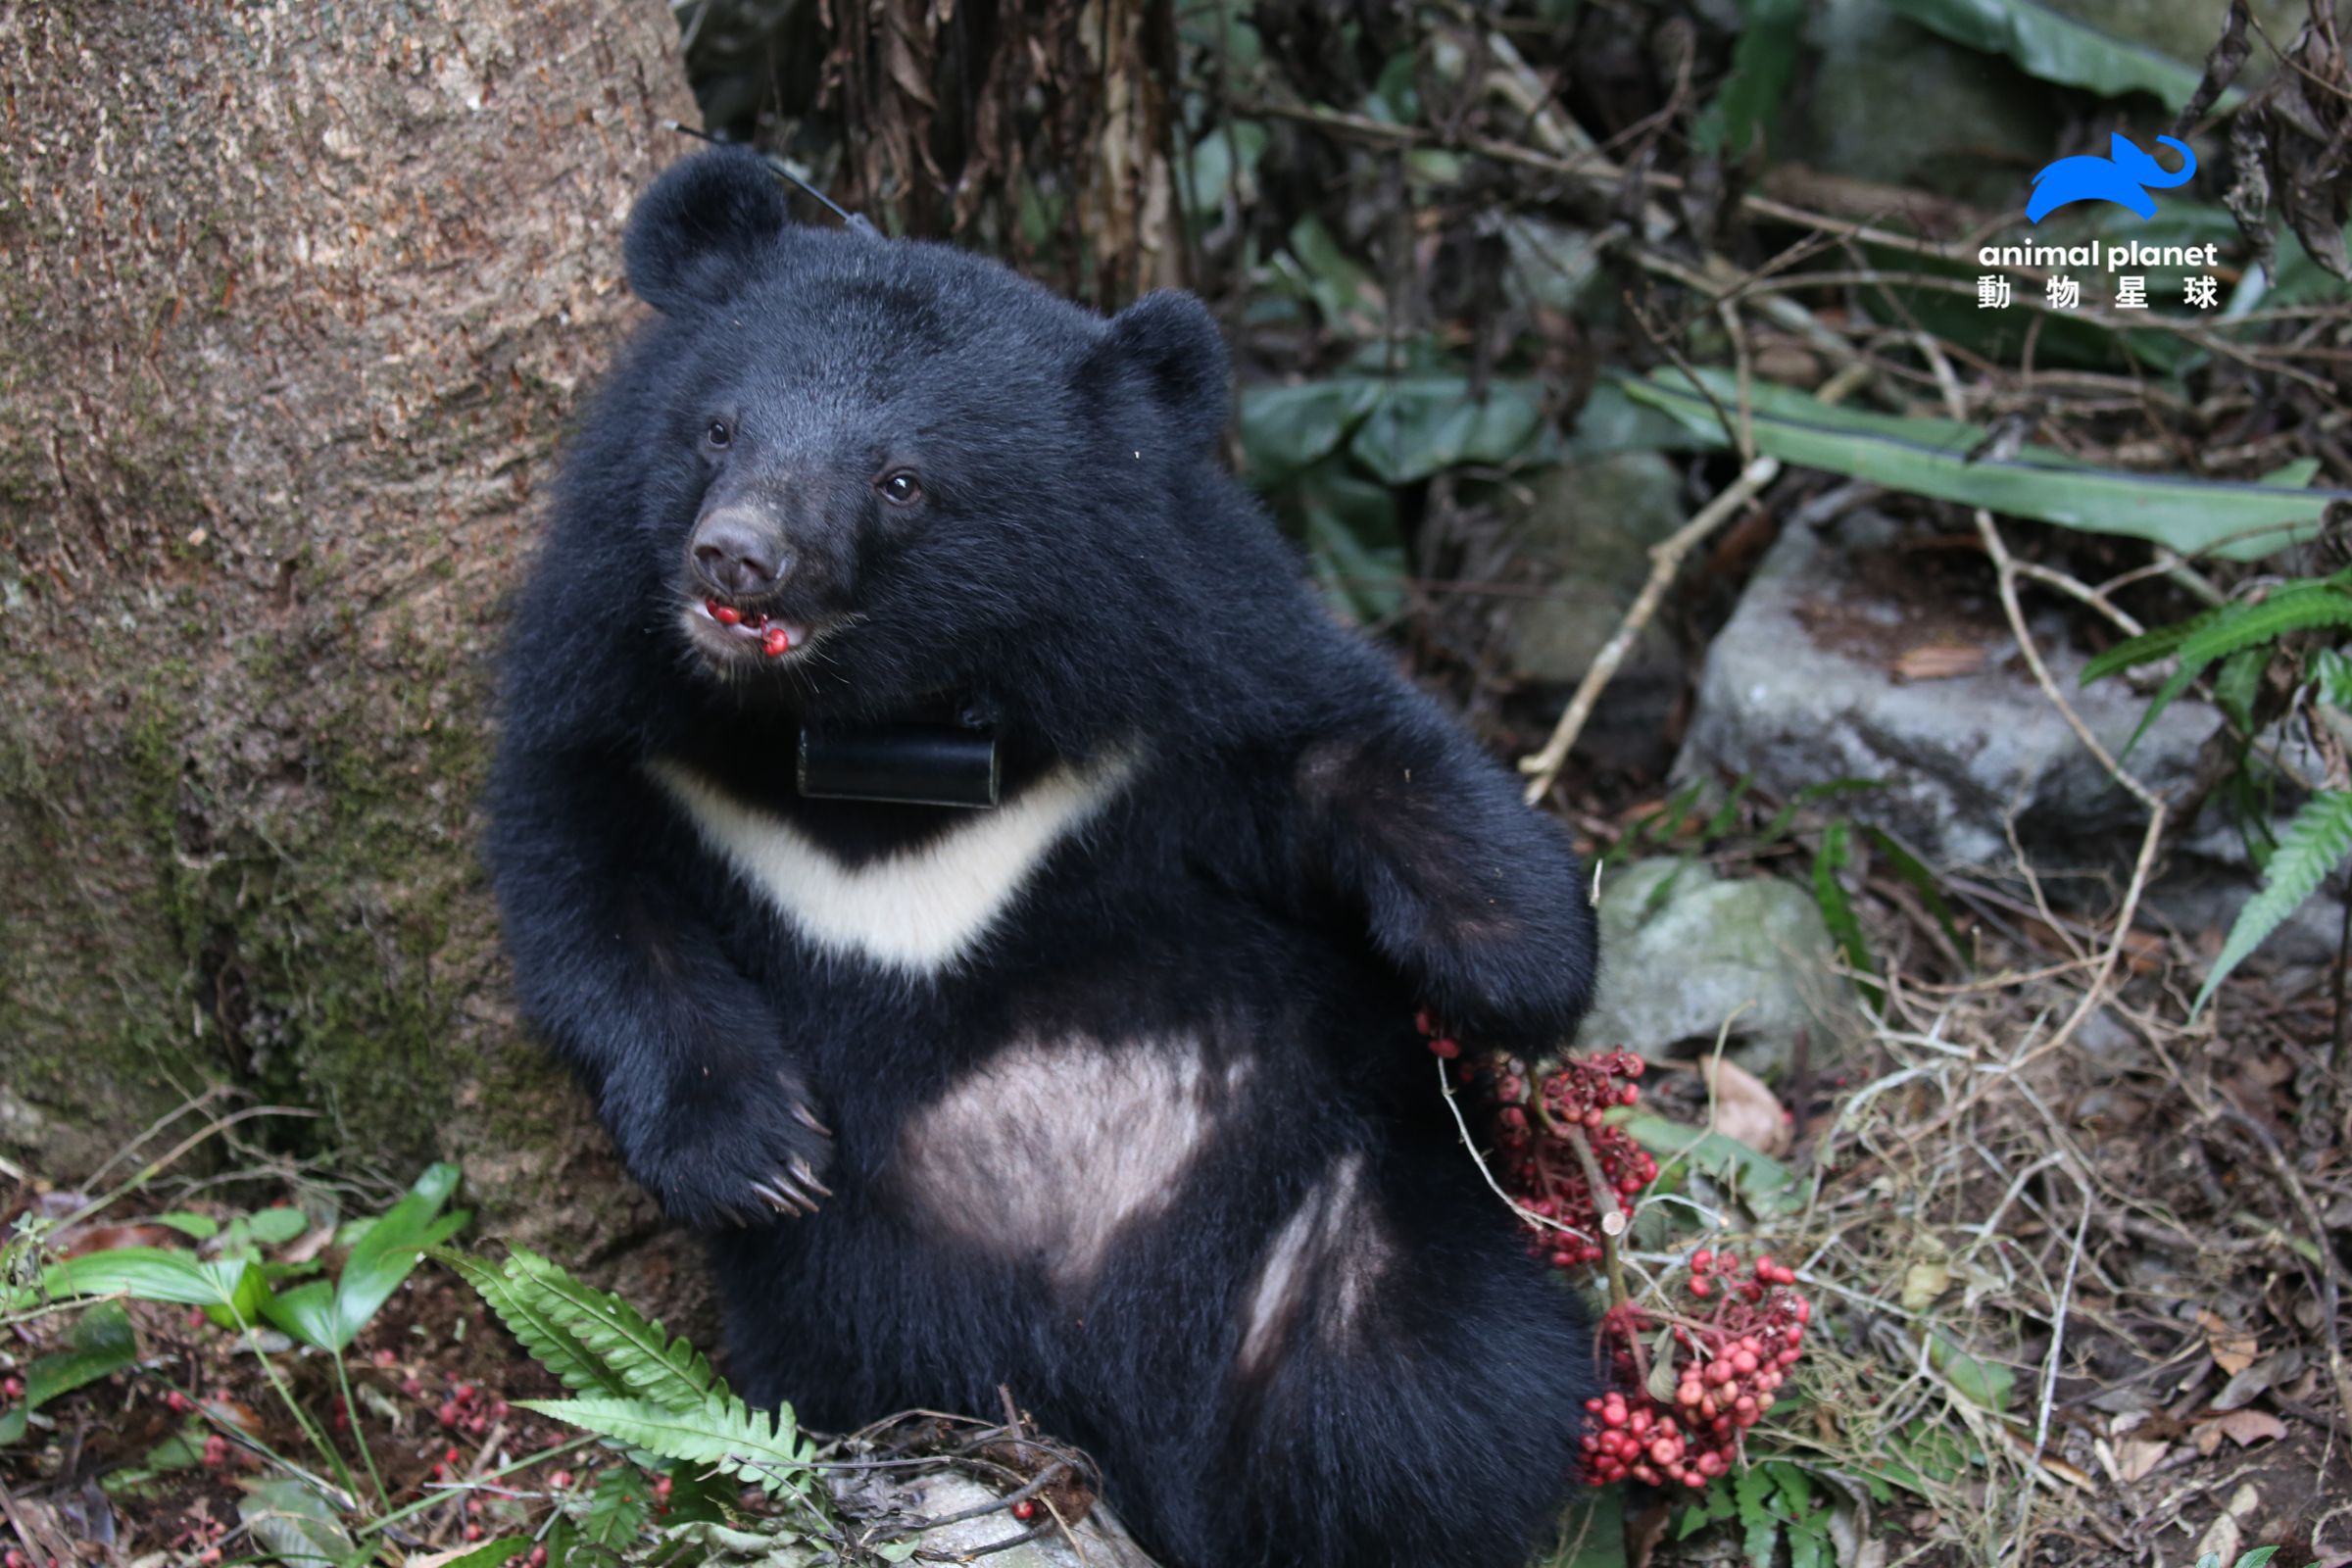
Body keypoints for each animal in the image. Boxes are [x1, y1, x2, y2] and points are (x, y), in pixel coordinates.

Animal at [486, 146, 1603, 1568]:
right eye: (718, 429)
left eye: (903, 481)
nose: (739, 560)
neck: (877, 723)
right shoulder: (608, 683)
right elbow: (585, 897)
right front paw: (757, 1154)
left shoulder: (1178, 651)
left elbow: (1343, 747)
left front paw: (1522, 966)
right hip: (869, 1308)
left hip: (1341, 1221)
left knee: (1442, 1402)